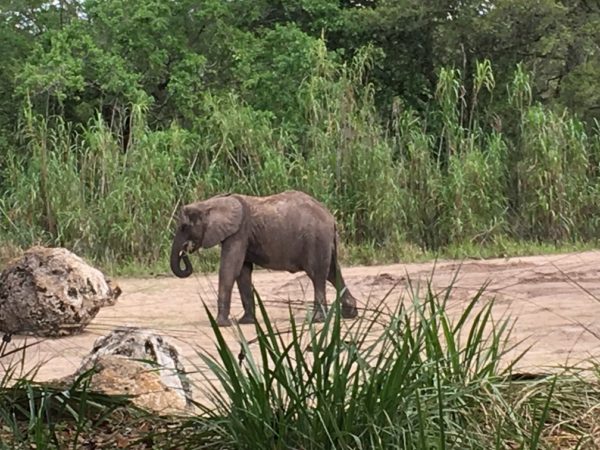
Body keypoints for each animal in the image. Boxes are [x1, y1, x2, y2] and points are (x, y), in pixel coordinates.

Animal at [169, 188, 358, 326]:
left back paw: (318, 319)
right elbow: (243, 273)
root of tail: (331, 218)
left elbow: (230, 269)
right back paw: (350, 314)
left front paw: (222, 324)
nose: (186, 249)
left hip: (316, 239)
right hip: (324, 241)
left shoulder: (239, 233)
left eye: (184, 227)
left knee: (317, 275)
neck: (210, 203)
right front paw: (245, 322)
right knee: (333, 273)